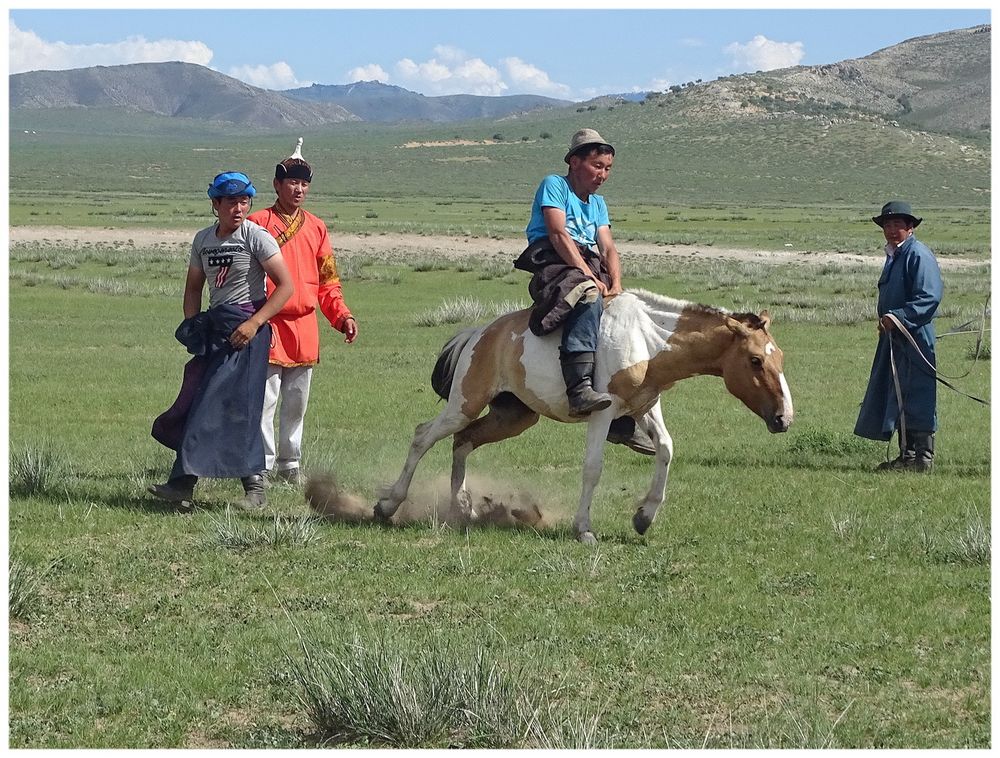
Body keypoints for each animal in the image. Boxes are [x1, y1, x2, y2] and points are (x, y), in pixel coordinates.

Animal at [372, 288, 792, 544]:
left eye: (780, 357)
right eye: (755, 360)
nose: (784, 419)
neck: (646, 339)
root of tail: (479, 334)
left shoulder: (644, 408)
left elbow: (666, 450)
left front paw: (644, 516)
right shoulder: (601, 415)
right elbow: (592, 469)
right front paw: (584, 529)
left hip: (513, 417)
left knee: (463, 442)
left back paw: (463, 508)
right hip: (464, 405)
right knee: (424, 435)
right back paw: (388, 505)